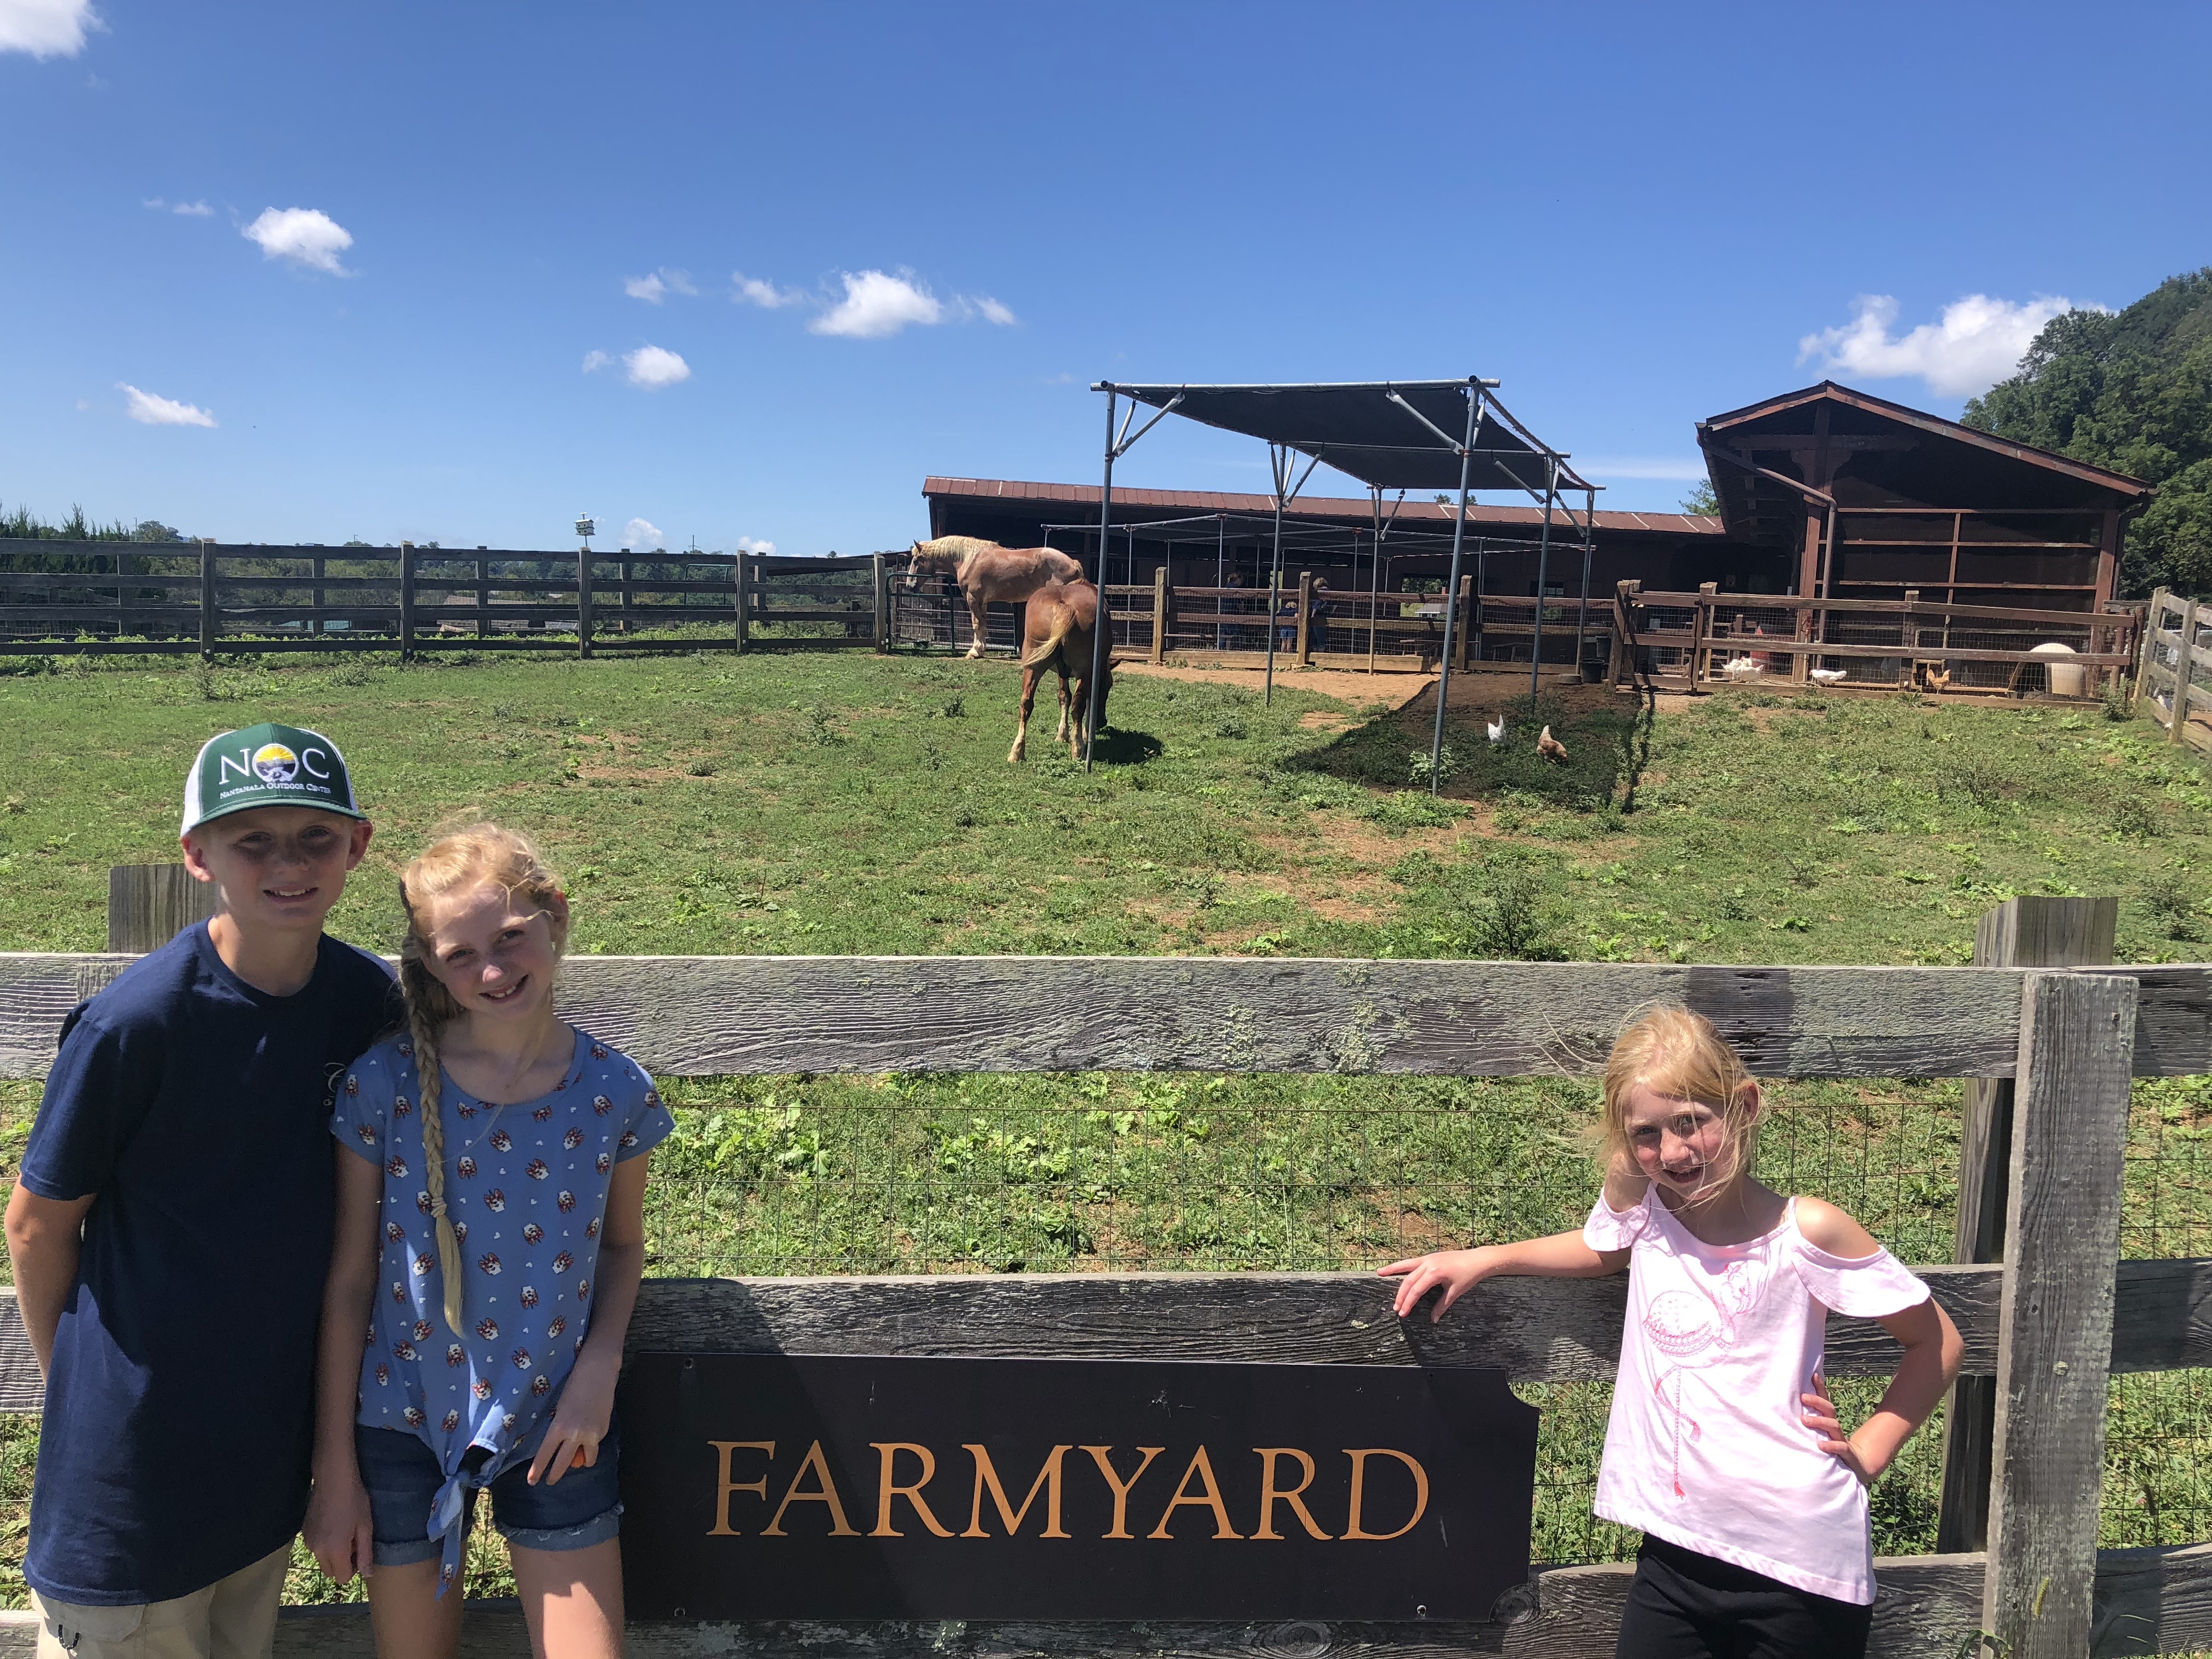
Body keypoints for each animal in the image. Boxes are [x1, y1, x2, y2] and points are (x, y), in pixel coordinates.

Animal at [905, 535, 1085, 660]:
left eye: (916, 560)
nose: (909, 585)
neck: (969, 559)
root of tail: (1073, 563)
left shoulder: (973, 598)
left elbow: (976, 624)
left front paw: (974, 652)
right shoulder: (982, 602)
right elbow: (983, 624)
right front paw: (981, 650)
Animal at [1008, 581, 1115, 764]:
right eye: (1108, 686)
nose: (1103, 721)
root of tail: (1063, 605)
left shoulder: (1061, 673)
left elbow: (1064, 696)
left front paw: (1062, 734)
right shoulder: (1090, 675)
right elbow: (1086, 702)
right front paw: (1084, 735)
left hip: (1032, 668)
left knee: (1026, 703)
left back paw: (1017, 751)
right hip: (1083, 672)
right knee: (1078, 706)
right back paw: (1078, 749)